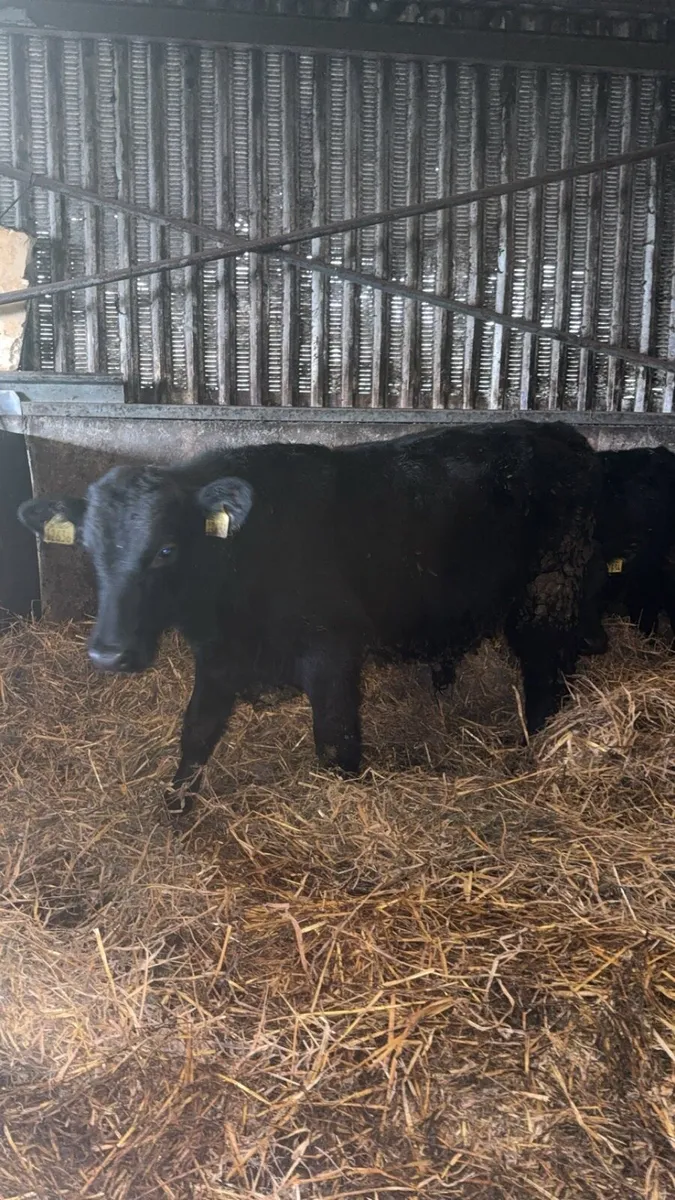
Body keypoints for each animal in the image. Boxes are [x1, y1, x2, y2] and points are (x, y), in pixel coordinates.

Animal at [19, 421, 602, 813]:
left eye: (166, 550)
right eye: (88, 549)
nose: (108, 654)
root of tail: (551, 429)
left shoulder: (333, 650)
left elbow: (336, 743)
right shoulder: (219, 656)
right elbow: (196, 732)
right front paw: (175, 809)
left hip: (549, 592)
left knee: (547, 674)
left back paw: (537, 749)